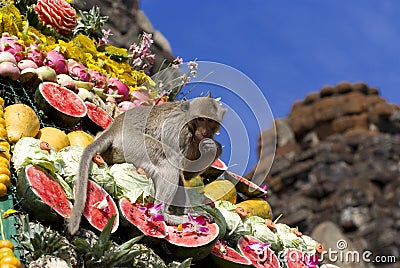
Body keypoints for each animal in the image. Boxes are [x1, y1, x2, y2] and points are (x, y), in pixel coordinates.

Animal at [67, 94, 227, 234]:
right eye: (201, 119)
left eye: (211, 122)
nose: (204, 132)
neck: (190, 126)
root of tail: (113, 129)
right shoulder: (178, 131)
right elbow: (179, 165)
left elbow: (187, 175)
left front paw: (214, 148)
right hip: (133, 143)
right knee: (170, 160)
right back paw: (165, 215)